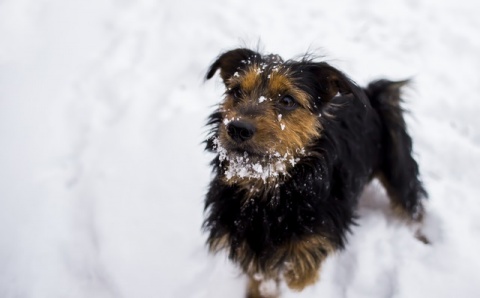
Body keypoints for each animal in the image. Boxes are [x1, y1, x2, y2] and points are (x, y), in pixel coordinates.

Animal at [202, 47, 428, 296]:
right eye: (236, 91)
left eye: (287, 100)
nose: (237, 128)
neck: (269, 193)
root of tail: (370, 94)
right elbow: (262, 282)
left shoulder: (310, 249)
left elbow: (299, 282)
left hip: (399, 167)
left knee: (412, 207)